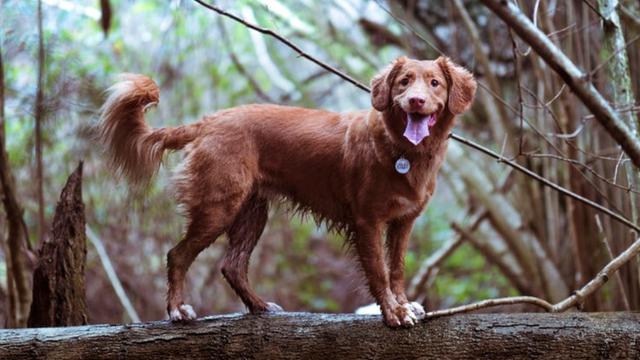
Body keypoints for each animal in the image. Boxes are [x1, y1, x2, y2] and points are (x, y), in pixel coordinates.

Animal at [99, 55, 476, 326]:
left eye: (434, 83)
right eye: (404, 82)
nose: (416, 101)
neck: (401, 150)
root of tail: (209, 121)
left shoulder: (403, 222)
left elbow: (396, 268)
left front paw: (403, 303)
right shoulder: (367, 221)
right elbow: (379, 272)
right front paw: (393, 312)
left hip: (252, 212)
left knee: (232, 266)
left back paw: (259, 305)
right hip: (219, 206)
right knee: (177, 255)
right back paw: (177, 310)